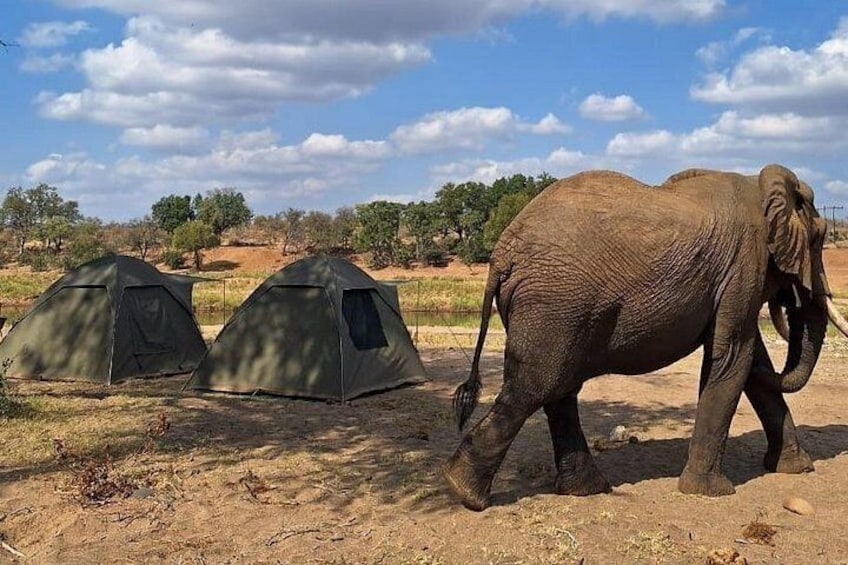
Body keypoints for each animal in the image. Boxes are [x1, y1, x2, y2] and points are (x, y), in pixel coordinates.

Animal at [443, 164, 848, 511]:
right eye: (819, 239)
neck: (760, 183)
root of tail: (501, 254)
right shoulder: (745, 264)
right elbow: (734, 355)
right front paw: (711, 492)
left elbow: (749, 362)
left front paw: (797, 468)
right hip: (554, 303)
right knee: (534, 388)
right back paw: (466, 492)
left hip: (555, 310)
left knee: (557, 390)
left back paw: (584, 489)